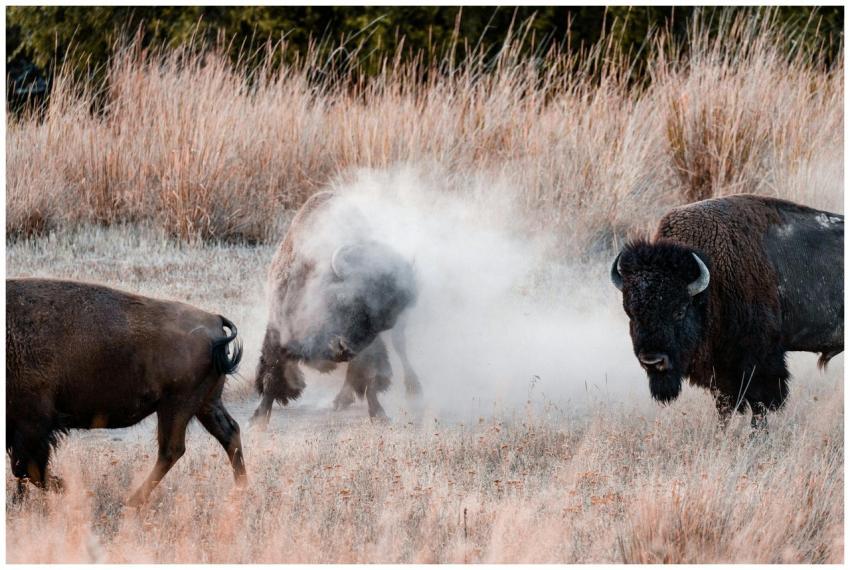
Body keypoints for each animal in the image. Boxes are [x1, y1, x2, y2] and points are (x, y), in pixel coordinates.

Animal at [6, 278, 246, 504]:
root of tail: (214, 320)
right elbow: (23, 469)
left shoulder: (33, 423)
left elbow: (28, 469)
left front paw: (71, 490)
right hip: (205, 403)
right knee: (228, 432)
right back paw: (242, 489)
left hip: (176, 405)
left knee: (172, 449)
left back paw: (132, 501)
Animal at [251, 191, 420, 426]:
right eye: (345, 298)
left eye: (383, 323)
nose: (344, 348)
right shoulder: (279, 328)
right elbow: (272, 373)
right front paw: (257, 421)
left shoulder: (371, 346)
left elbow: (369, 377)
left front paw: (379, 414)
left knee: (399, 348)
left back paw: (411, 387)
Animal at [610, 194, 843, 428]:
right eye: (631, 313)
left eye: (680, 311)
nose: (653, 361)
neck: (713, 279)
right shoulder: (722, 371)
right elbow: (725, 406)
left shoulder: (759, 360)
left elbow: (760, 404)